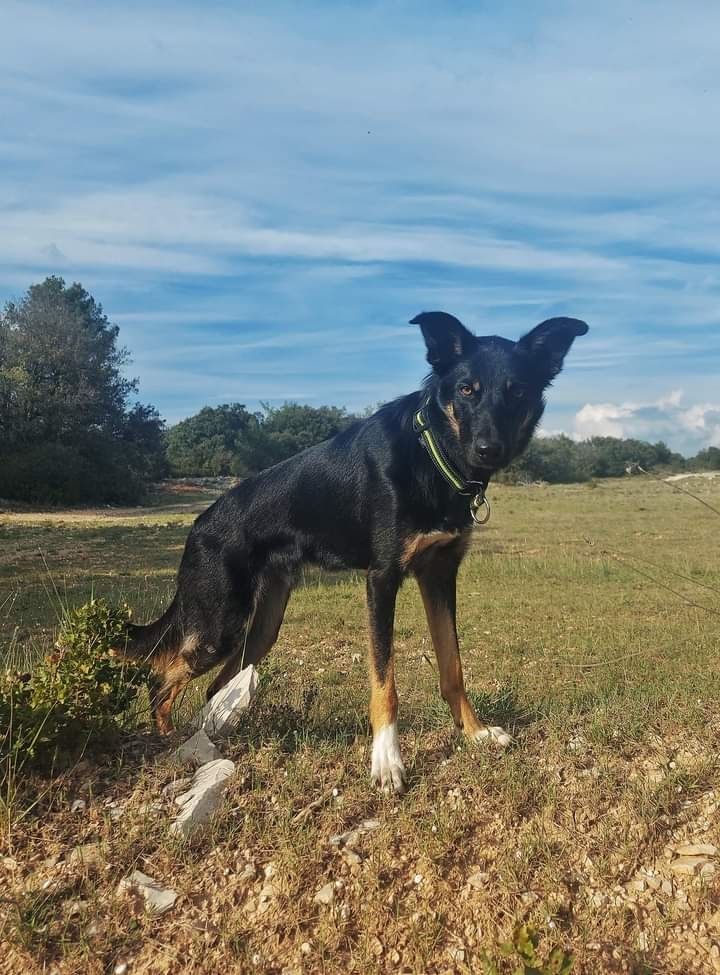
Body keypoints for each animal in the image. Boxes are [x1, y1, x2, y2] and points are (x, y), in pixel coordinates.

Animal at [126, 312, 588, 792]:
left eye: (518, 391)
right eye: (466, 390)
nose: (488, 449)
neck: (432, 454)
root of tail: (198, 526)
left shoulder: (439, 575)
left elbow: (453, 668)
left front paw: (475, 732)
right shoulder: (382, 579)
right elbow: (386, 682)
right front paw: (387, 761)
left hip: (261, 628)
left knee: (215, 686)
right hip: (218, 626)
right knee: (160, 681)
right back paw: (172, 743)